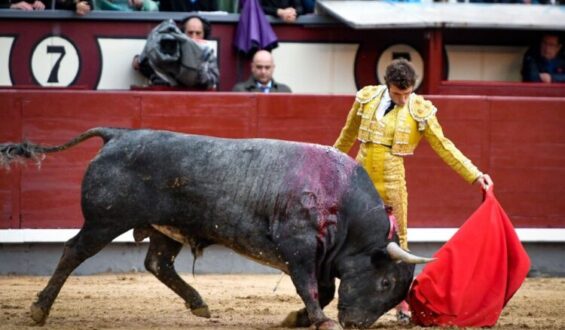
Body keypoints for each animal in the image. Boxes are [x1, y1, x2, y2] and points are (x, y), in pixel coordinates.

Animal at [1, 127, 432, 328]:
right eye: (384, 282)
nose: (356, 324)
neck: (342, 201)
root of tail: (119, 134)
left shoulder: (321, 258)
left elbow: (323, 290)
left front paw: (297, 318)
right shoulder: (299, 249)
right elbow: (311, 289)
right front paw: (319, 320)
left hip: (164, 229)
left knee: (157, 264)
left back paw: (198, 303)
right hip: (104, 221)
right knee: (73, 252)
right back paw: (39, 309)